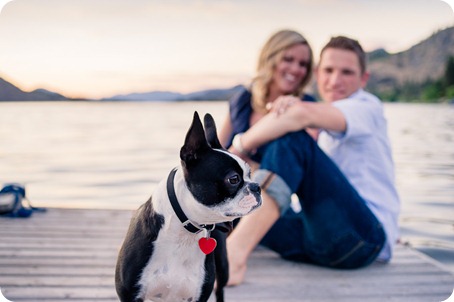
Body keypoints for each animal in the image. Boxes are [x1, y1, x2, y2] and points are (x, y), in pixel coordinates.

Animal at [115, 112, 260, 300]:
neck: (183, 231)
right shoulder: (130, 295)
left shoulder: (199, 295)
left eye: (250, 174)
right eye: (234, 179)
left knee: (220, 290)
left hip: (223, 268)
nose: (257, 187)